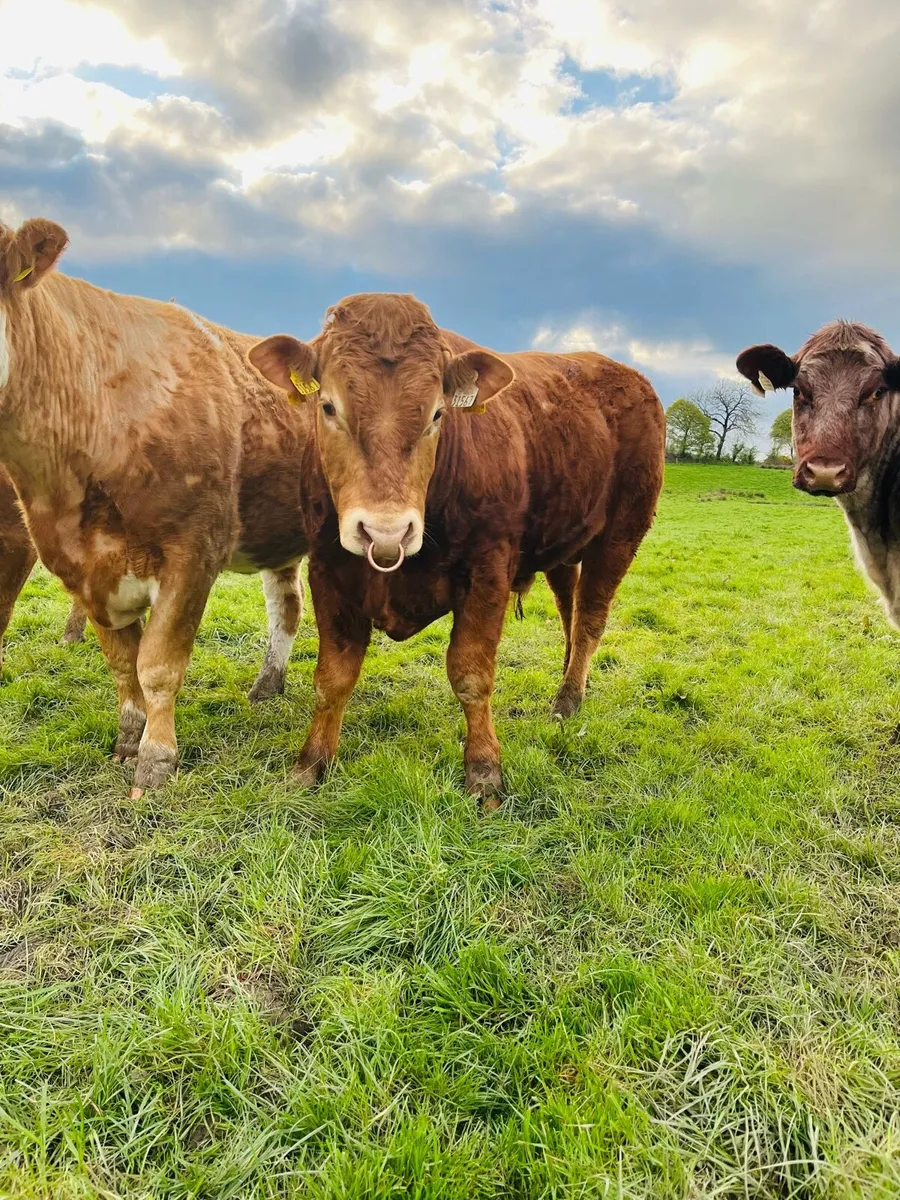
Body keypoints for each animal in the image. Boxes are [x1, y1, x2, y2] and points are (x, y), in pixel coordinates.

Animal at [0, 217, 313, 795]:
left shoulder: (193, 553)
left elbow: (159, 663)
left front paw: (156, 759)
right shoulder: (79, 566)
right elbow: (123, 664)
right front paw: (128, 738)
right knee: (287, 604)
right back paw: (267, 686)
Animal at [247, 293, 665, 806]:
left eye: (436, 414)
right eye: (327, 406)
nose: (385, 531)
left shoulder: (487, 572)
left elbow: (471, 674)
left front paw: (484, 770)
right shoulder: (329, 570)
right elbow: (333, 676)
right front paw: (311, 763)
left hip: (621, 534)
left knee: (589, 617)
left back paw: (568, 698)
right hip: (564, 543)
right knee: (568, 607)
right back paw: (569, 676)